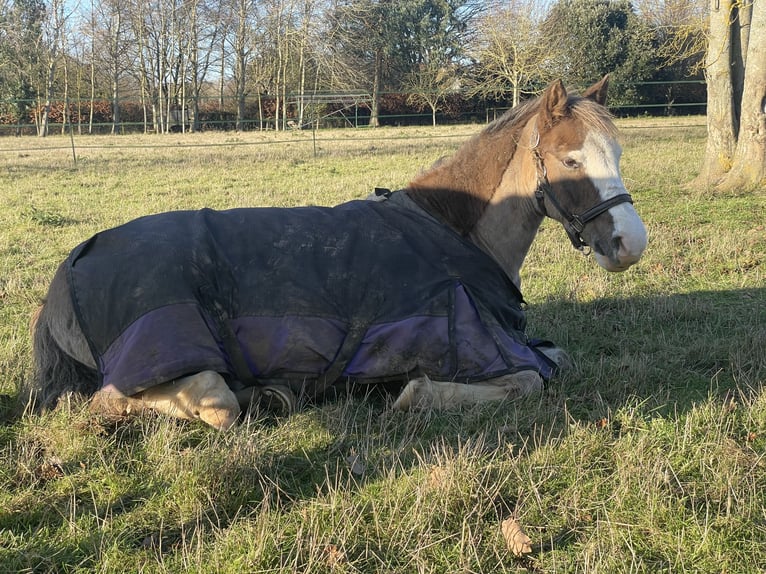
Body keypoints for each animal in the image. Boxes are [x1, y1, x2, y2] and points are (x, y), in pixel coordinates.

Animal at [22, 76, 648, 430]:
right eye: (570, 160)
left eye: (618, 152)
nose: (630, 245)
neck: (451, 231)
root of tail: (68, 270)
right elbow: (528, 380)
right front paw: (415, 396)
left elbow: (557, 358)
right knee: (149, 402)